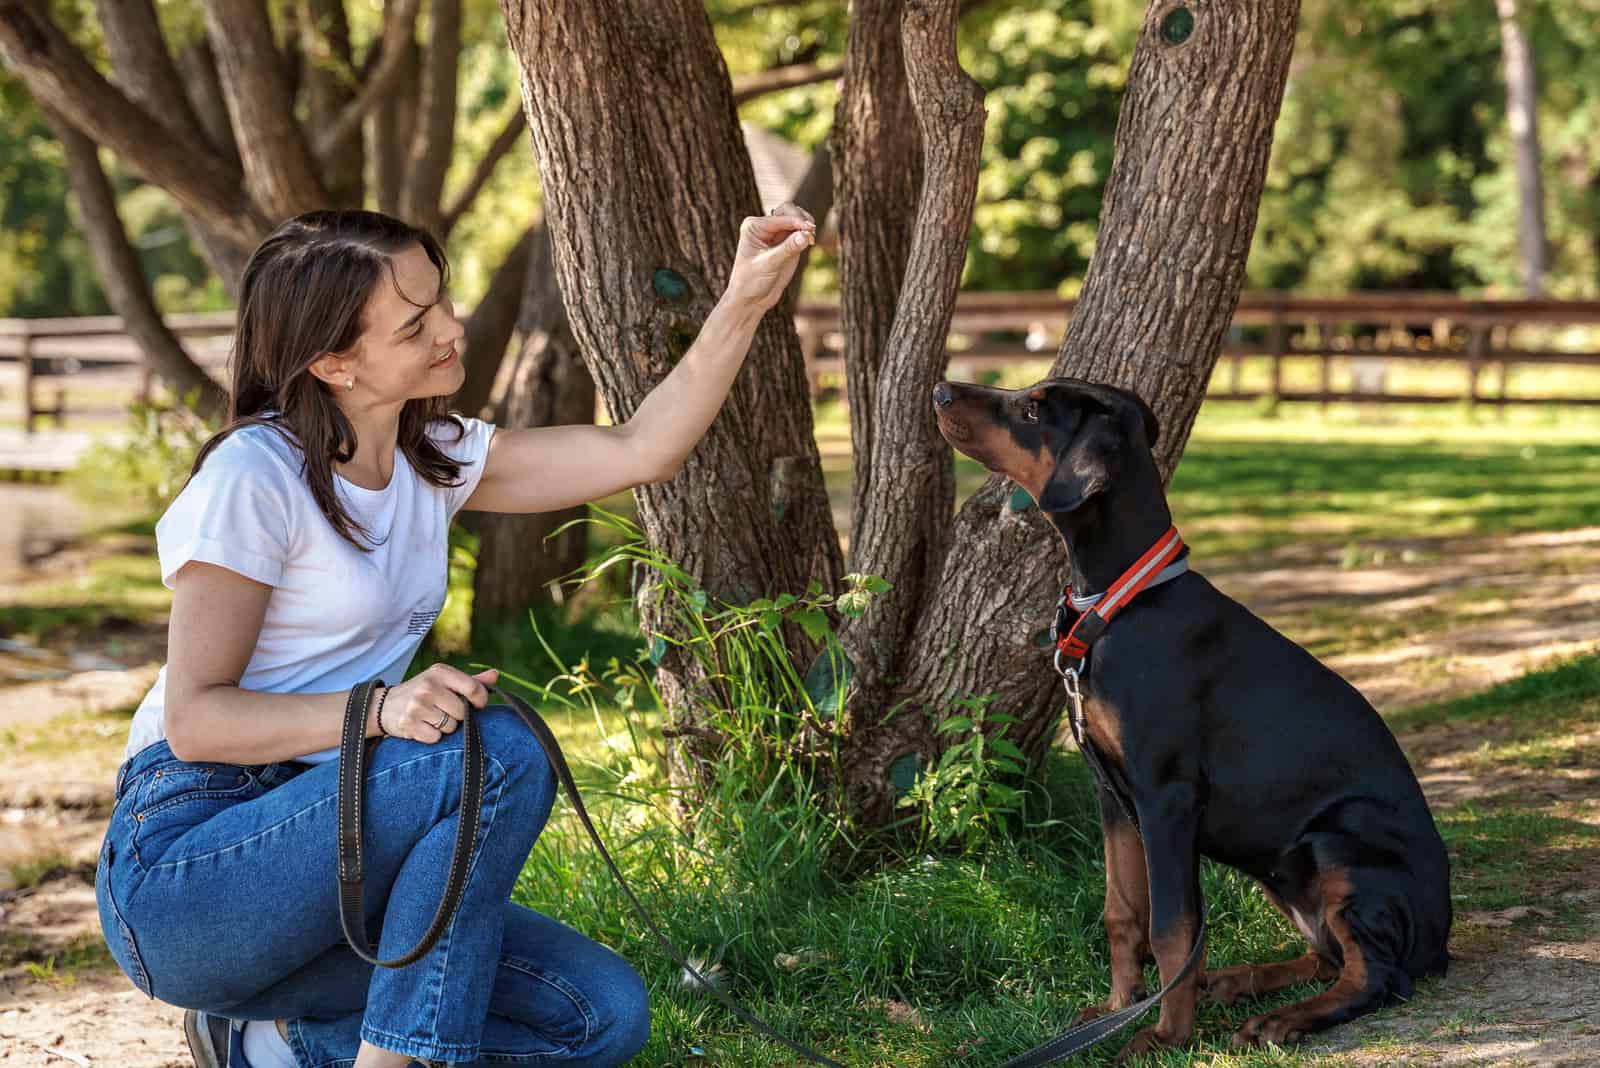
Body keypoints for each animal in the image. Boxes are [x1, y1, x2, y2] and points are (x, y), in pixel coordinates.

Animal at [934, 377, 1459, 1061]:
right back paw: (1239, 982)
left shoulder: (1167, 795)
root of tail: (1440, 937)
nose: (940, 390)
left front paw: (1164, 1035)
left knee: (1375, 976)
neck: (1121, 602)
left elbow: (1172, 927)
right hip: (1281, 866)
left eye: (1029, 409)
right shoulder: (1113, 793)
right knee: (1329, 955)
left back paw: (1280, 1019)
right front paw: (1117, 1008)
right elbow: (1122, 911)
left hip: (1338, 842)